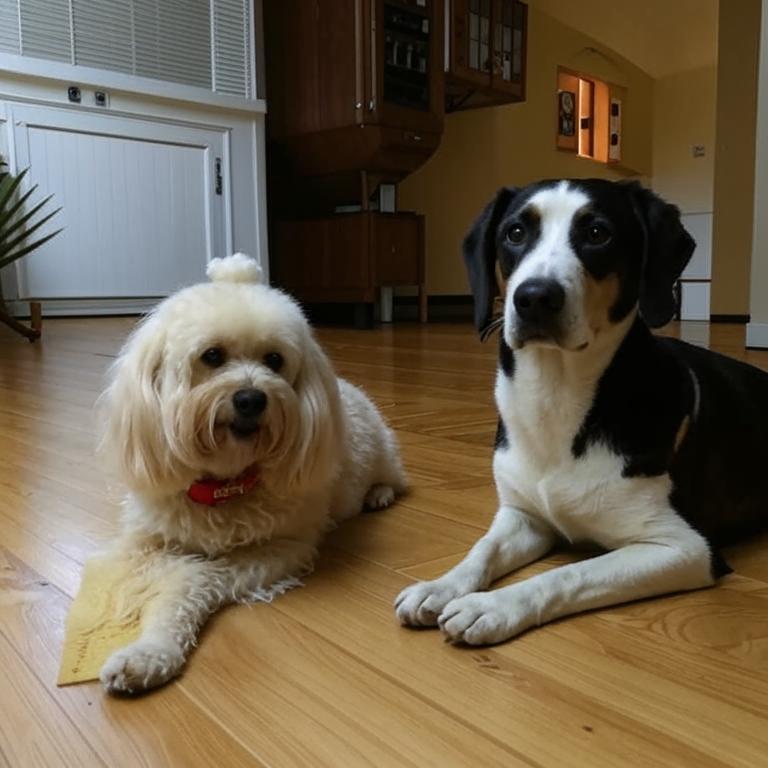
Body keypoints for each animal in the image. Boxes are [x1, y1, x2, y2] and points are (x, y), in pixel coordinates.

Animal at [97, 253, 406, 693]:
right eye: (212, 356)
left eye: (274, 360)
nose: (251, 399)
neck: (222, 485)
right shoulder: (142, 542)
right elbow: (149, 573)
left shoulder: (277, 548)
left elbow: (188, 584)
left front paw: (150, 651)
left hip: (386, 453)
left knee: (393, 480)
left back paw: (378, 494)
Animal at [396, 179, 768, 645]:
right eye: (515, 233)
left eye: (597, 234)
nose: (534, 297)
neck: (556, 395)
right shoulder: (523, 516)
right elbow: (482, 549)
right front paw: (441, 585)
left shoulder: (684, 547)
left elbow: (569, 574)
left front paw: (491, 606)